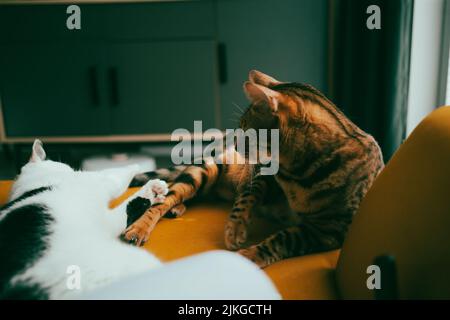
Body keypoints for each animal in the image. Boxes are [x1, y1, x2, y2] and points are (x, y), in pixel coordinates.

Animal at [123, 70, 384, 268]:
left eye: (246, 128)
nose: (236, 145)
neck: (297, 171)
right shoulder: (261, 172)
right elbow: (247, 196)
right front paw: (235, 227)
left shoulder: (330, 229)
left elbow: (283, 239)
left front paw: (249, 255)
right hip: (205, 169)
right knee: (167, 197)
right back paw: (142, 225)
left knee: (190, 195)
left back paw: (178, 208)